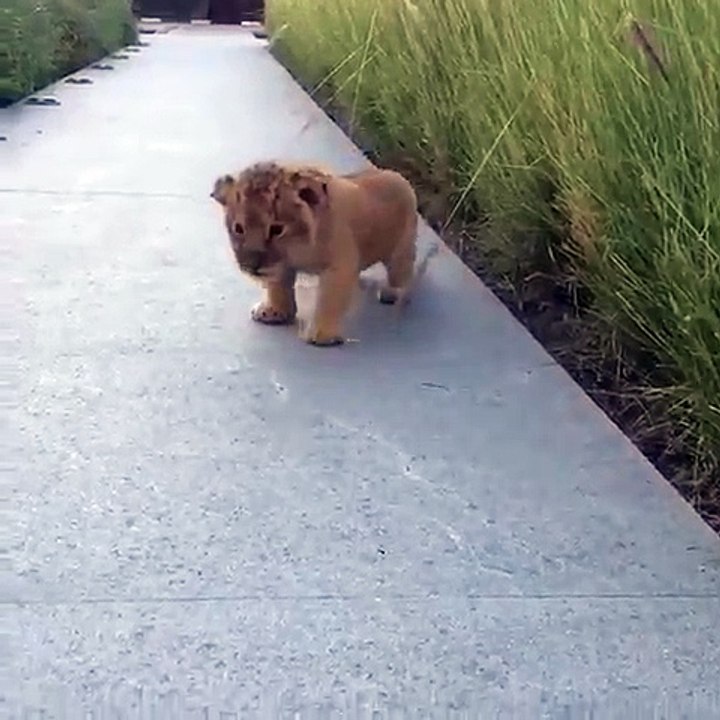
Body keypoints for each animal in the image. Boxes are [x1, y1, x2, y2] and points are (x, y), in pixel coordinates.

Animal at [211, 161, 419, 346]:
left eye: (276, 229)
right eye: (239, 228)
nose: (253, 266)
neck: (297, 246)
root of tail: (396, 174)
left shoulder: (339, 265)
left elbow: (330, 299)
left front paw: (321, 335)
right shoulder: (280, 265)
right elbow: (278, 287)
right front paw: (275, 312)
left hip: (401, 250)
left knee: (403, 274)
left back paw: (392, 292)